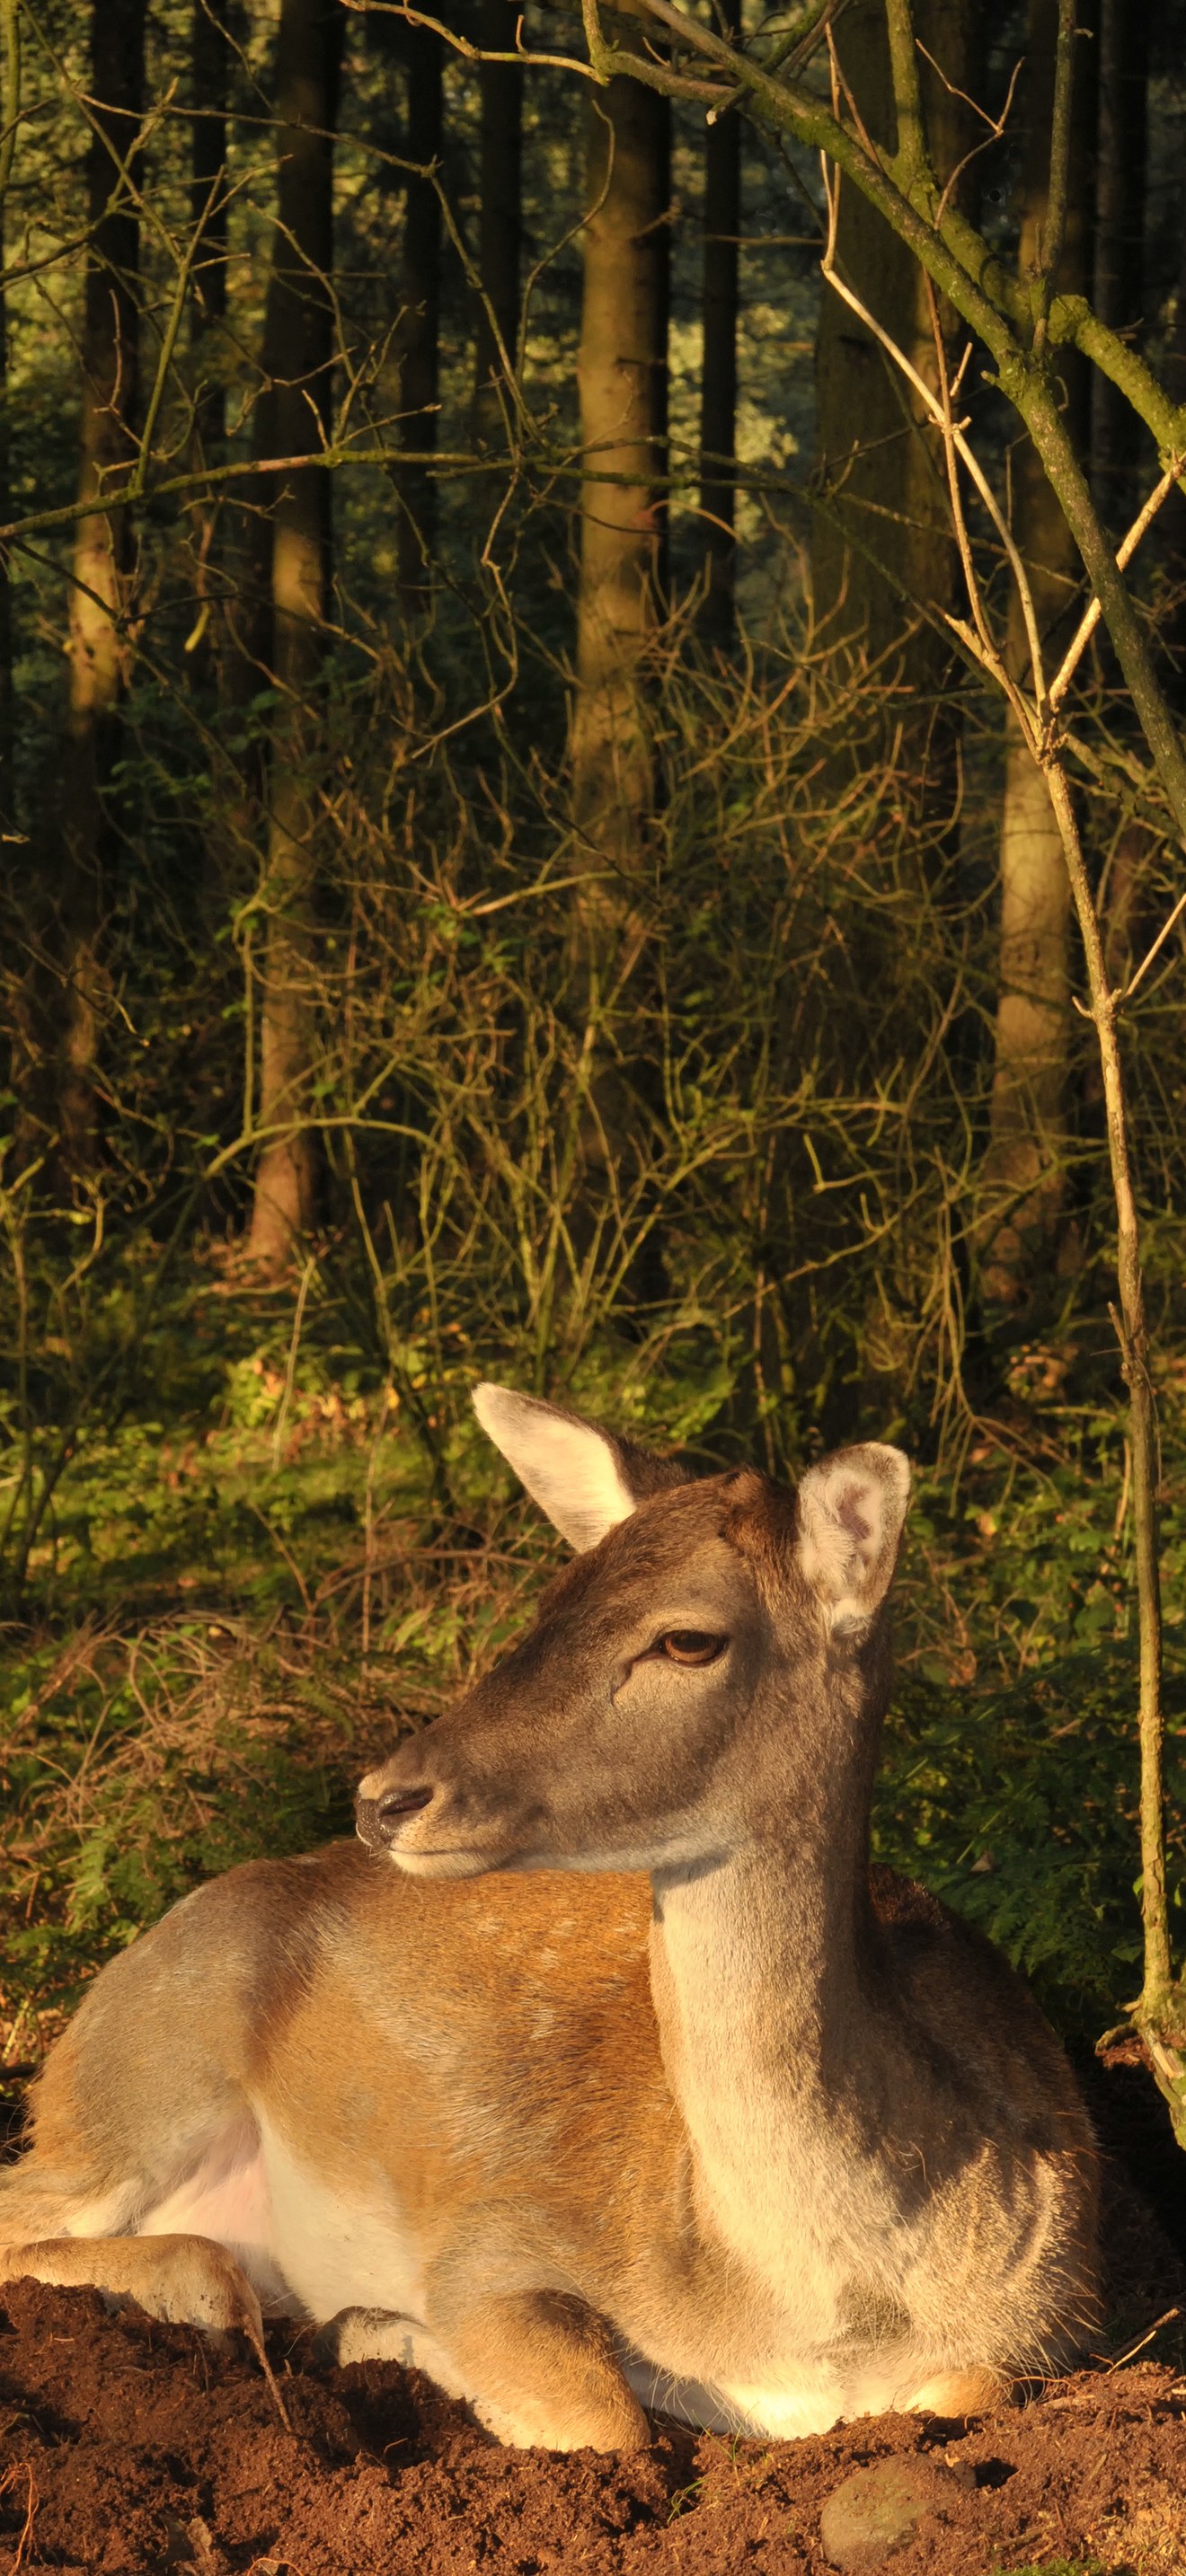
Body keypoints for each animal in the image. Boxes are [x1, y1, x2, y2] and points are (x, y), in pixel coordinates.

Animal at [0, 1386, 1099, 2450]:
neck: (818, 2314)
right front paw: (373, 2328)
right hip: (142, 2072)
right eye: (552, 1601)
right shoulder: (496, 2235)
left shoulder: (1039, 2329)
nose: (384, 1798)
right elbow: (603, 2414)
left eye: (688, 1637)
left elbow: (969, 2391)